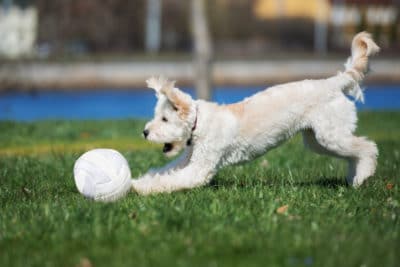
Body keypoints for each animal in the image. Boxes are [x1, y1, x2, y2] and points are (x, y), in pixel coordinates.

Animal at [133, 32, 380, 196]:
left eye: (164, 119)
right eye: (156, 117)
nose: (144, 132)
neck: (199, 122)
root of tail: (334, 82)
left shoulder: (199, 167)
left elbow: (171, 180)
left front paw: (140, 188)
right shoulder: (187, 160)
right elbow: (164, 172)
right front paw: (139, 180)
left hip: (330, 135)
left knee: (368, 147)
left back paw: (363, 176)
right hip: (319, 140)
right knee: (354, 152)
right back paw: (354, 178)